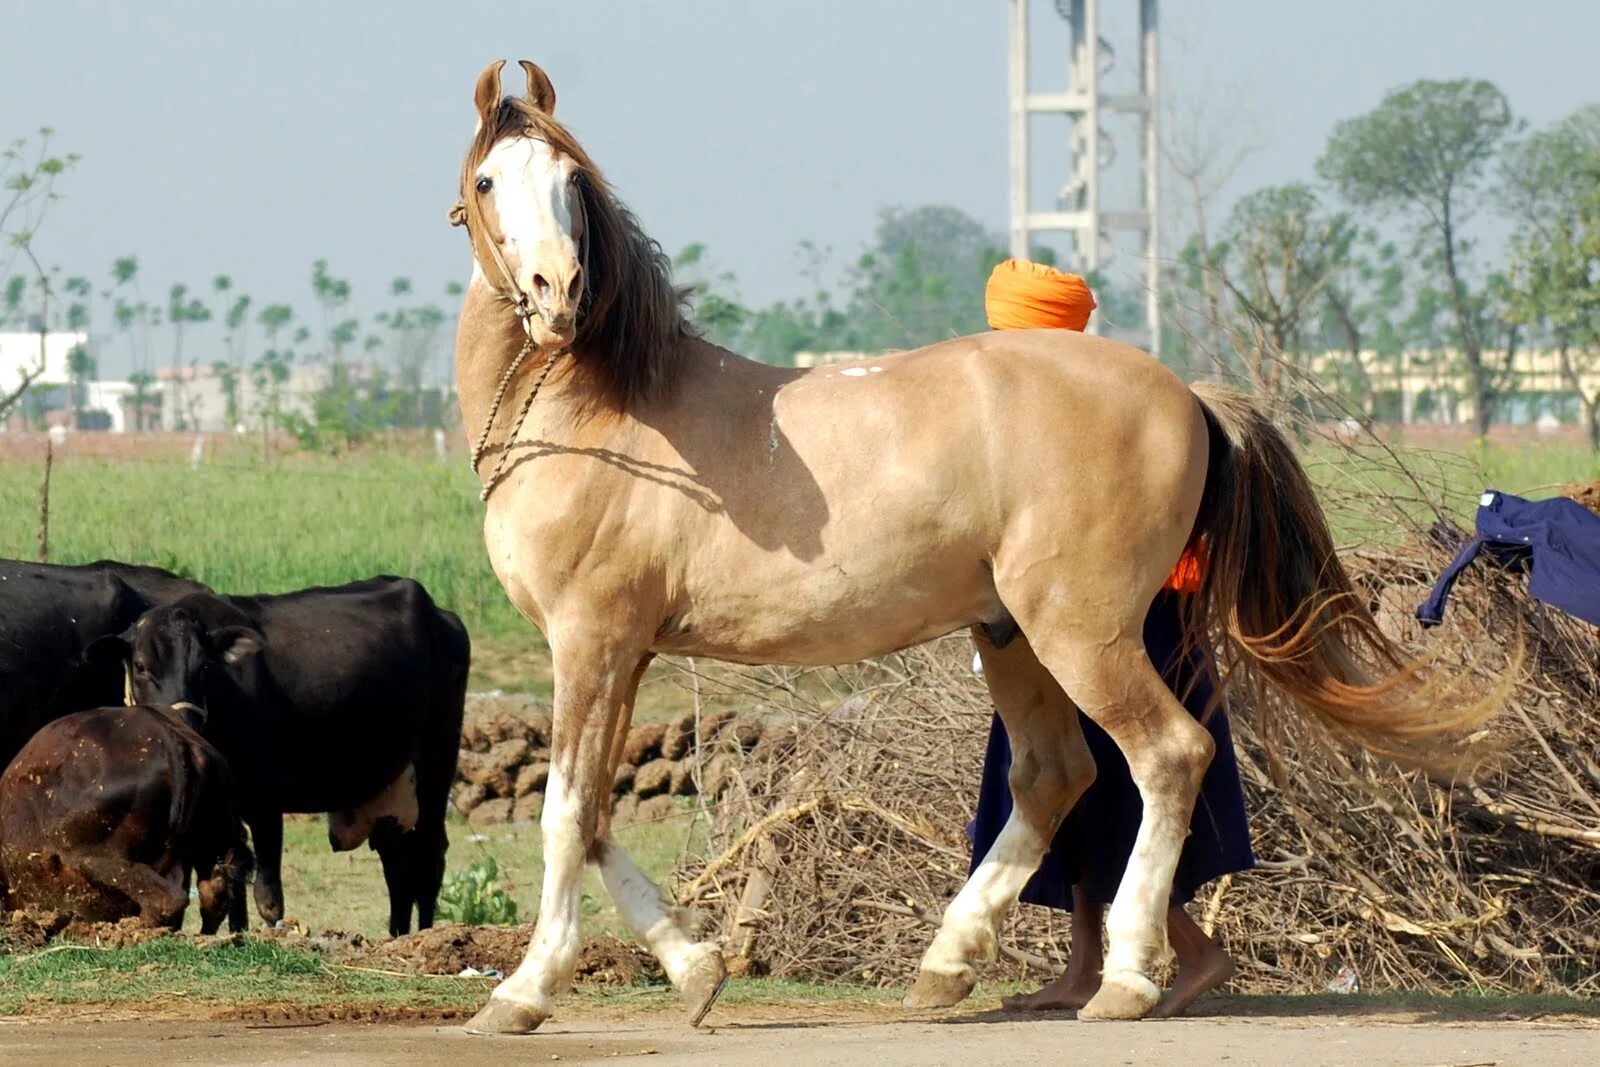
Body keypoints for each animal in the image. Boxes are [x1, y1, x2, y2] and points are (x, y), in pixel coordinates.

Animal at [90, 579, 470, 940]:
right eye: (141, 666)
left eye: (204, 667)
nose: (183, 723)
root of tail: (441, 614)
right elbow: (227, 877)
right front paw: (237, 933)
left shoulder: (266, 801)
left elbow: (268, 894)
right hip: (391, 786)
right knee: (398, 861)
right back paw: (396, 934)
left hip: (436, 765)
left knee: (429, 857)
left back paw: (426, 933)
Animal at [444, 58, 1491, 1036]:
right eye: (490, 180)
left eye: (570, 181)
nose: (557, 294)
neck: (600, 411)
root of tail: (1186, 394)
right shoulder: (623, 654)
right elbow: (596, 815)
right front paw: (698, 970)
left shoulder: (589, 642)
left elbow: (565, 813)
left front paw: (522, 991)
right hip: (1010, 636)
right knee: (1056, 775)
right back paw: (951, 960)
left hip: (1081, 635)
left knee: (1167, 755)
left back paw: (1123, 979)